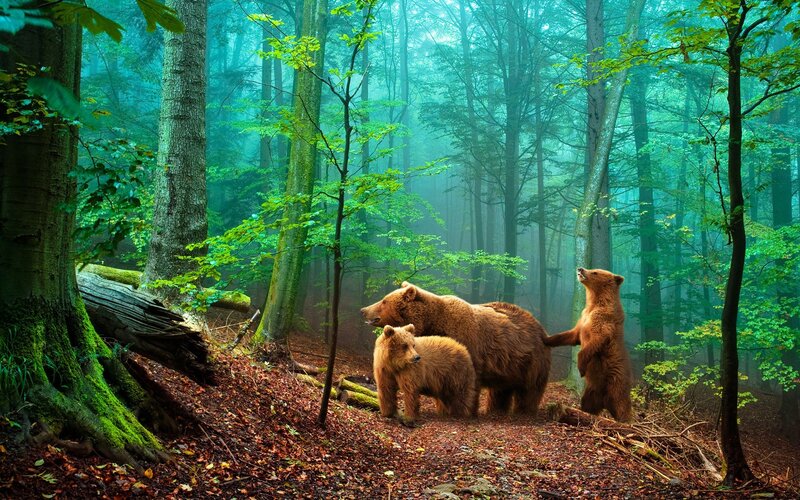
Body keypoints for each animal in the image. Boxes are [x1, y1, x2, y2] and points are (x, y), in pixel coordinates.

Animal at [362, 282, 551, 416]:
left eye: (384, 301)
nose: (363, 310)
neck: (432, 323)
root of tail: (543, 330)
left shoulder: (467, 344)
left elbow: (467, 383)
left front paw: (463, 411)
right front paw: (443, 409)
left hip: (531, 362)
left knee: (529, 391)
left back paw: (524, 412)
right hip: (508, 368)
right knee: (500, 391)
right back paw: (496, 410)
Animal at [543, 267, 633, 422]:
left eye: (595, 272)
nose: (580, 268)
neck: (594, 304)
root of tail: (605, 402)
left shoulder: (603, 321)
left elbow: (595, 341)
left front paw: (581, 367)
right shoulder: (583, 318)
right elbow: (571, 336)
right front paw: (546, 338)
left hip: (616, 382)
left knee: (621, 405)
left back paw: (626, 421)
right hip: (592, 391)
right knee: (588, 403)